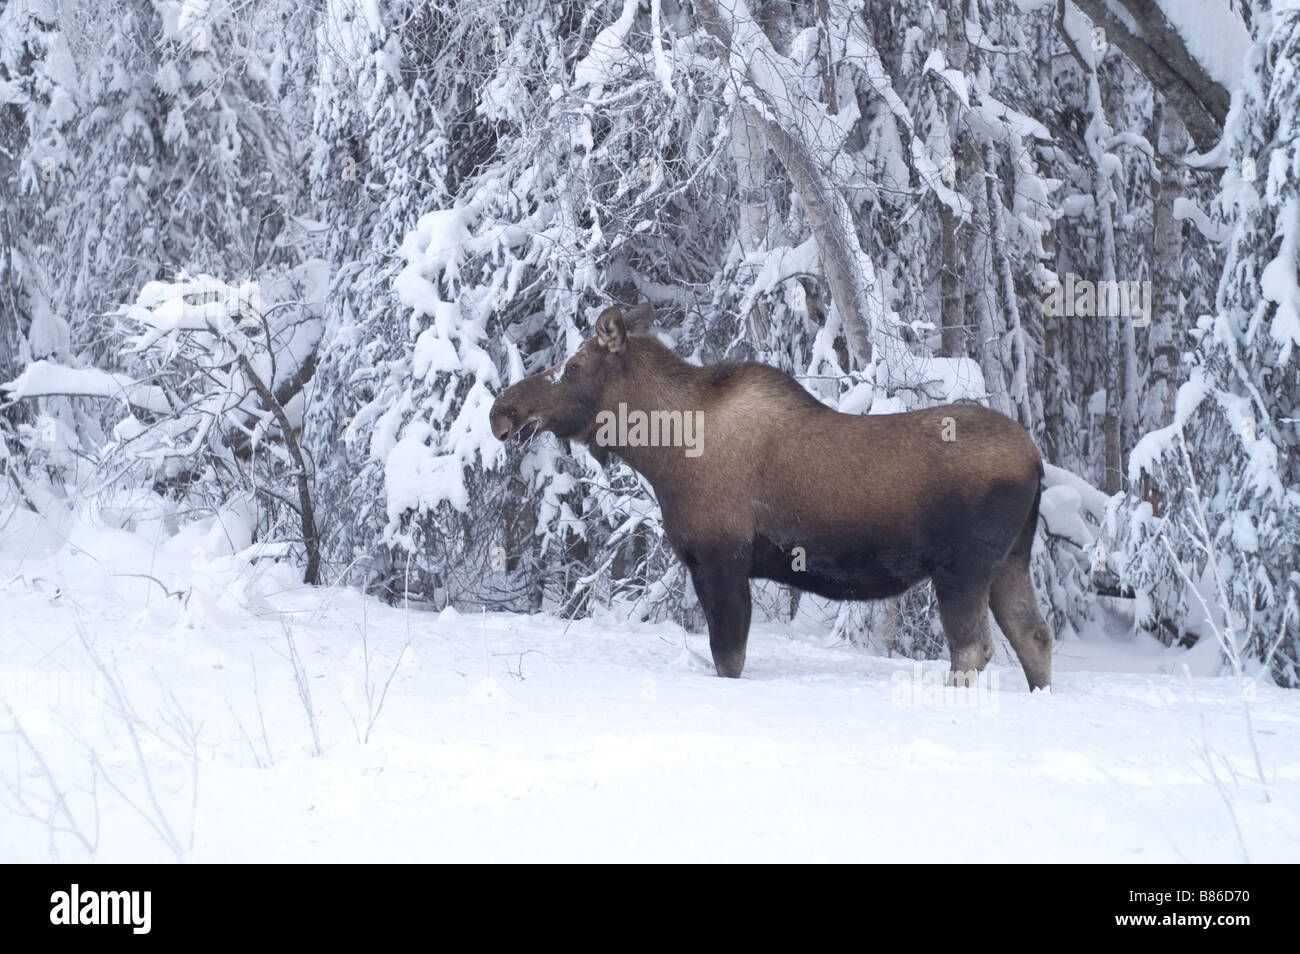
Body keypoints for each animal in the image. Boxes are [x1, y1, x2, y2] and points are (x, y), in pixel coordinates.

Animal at [491, 302, 1050, 691]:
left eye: (573, 367)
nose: (502, 410)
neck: (660, 452)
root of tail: (1036, 460)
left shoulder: (720, 558)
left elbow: (728, 659)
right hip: (1010, 560)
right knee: (1034, 636)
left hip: (963, 567)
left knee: (973, 650)